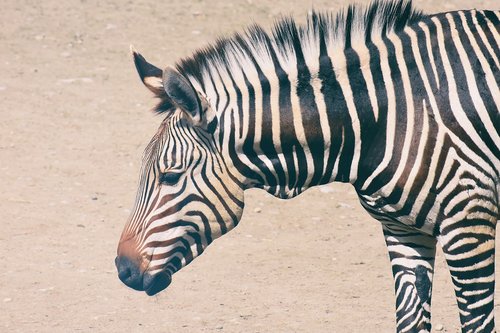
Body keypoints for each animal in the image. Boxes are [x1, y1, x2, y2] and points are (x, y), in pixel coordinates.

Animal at [115, 0, 498, 330]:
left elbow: (476, 322)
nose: (123, 269)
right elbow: (410, 320)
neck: (387, 115)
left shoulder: (469, 227)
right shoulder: (402, 230)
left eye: (170, 177)